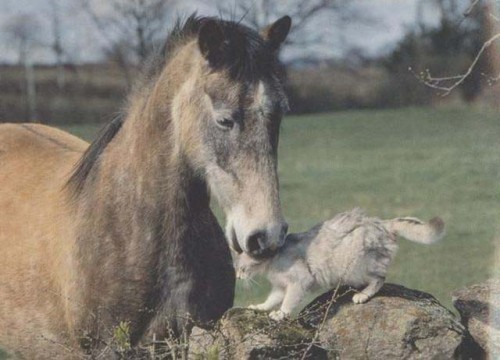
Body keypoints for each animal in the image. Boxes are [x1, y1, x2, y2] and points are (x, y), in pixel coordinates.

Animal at [234, 207, 446, 322]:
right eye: (236, 268)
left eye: (242, 268)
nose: (237, 276)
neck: (272, 261)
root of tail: (382, 223)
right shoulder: (280, 286)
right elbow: (271, 300)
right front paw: (259, 307)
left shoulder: (298, 282)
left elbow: (287, 302)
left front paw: (280, 314)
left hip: (355, 267)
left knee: (379, 278)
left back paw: (362, 295)